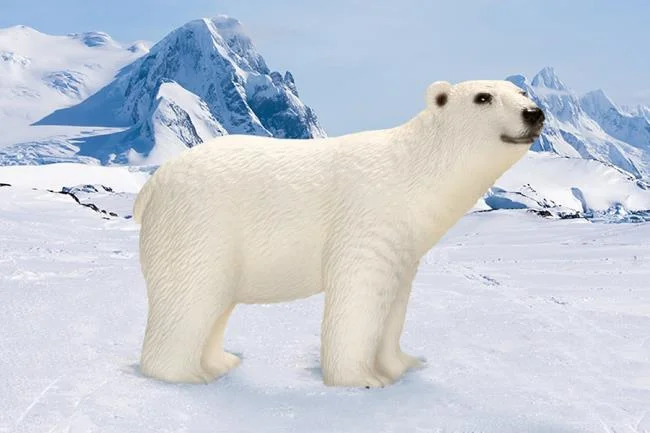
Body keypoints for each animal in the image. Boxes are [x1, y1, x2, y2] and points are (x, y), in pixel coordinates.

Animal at [133, 79, 545, 388]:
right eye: (483, 97)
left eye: (521, 91)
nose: (535, 113)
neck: (411, 172)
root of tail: (152, 185)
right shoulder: (367, 215)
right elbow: (358, 294)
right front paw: (362, 379)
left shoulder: (403, 241)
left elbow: (394, 304)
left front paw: (400, 365)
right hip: (200, 223)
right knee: (190, 295)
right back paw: (186, 375)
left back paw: (221, 362)